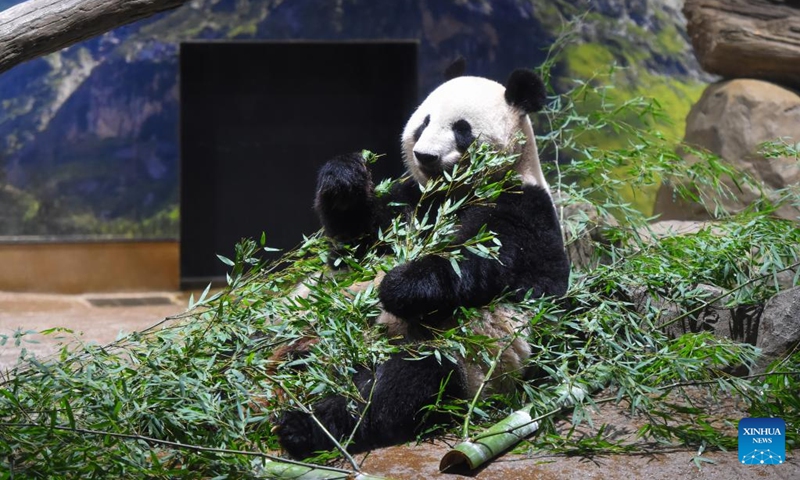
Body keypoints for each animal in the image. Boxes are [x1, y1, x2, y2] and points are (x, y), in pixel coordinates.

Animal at [276, 63, 568, 458]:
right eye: (423, 123)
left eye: (462, 129)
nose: (425, 156)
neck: (453, 193)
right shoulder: (411, 201)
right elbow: (358, 242)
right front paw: (344, 179)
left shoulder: (521, 209)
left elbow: (474, 262)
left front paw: (396, 286)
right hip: (295, 315)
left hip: (462, 359)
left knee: (393, 389)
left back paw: (305, 426)